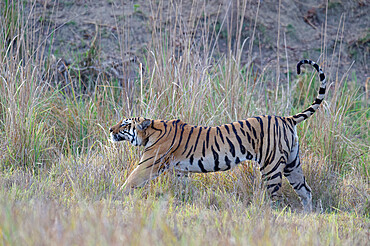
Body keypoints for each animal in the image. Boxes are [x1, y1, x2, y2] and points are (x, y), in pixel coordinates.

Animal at [110, 59, 326, 211]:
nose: (110, 130)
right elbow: (184, 190)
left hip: (271, 165)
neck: (151, 131)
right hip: (292, 163)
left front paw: (112, 196)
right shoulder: (180, 171)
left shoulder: (148, 165)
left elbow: (130, 181)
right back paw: (307, 215)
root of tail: (286, 118)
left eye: (124, 124)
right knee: (305, 191)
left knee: (276, 196)